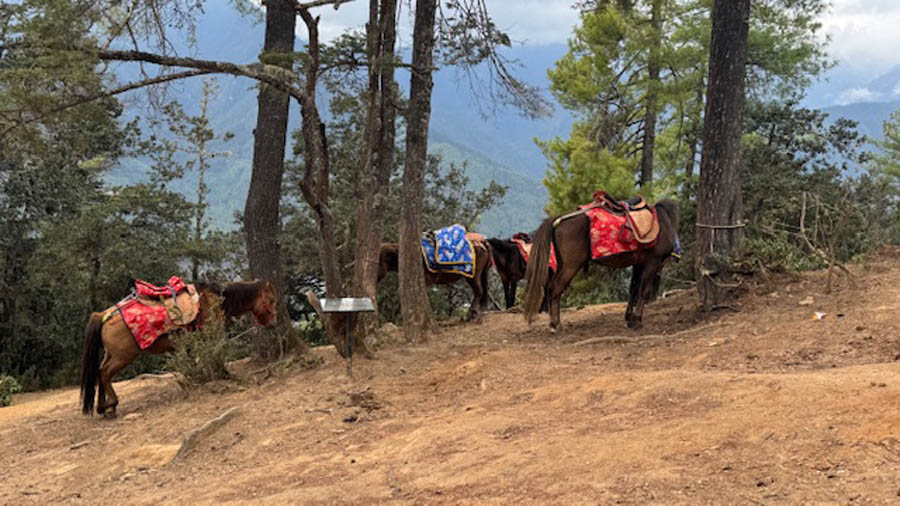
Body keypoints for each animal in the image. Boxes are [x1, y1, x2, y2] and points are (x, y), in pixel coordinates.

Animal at [80, 280, 277, 417]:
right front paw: (222, 375)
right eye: (271, 300)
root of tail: (104, 315)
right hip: (123, 356)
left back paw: (103, 407)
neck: (214, 300)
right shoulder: (210, 338)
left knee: (99, 372)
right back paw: (110, 405)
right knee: (105, 373)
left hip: (111, 354)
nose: (273, 323)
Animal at [523, 199, 679, 332]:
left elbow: (633, 289)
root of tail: (558, 219)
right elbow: (643, 291)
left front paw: (629, 319)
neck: (663, 223)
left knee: (551, 288)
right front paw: (637, 321)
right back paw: (556, 324)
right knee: (555, 288)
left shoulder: (639, 264)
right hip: (570, 266)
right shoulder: (652, 262)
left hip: (562, 265)